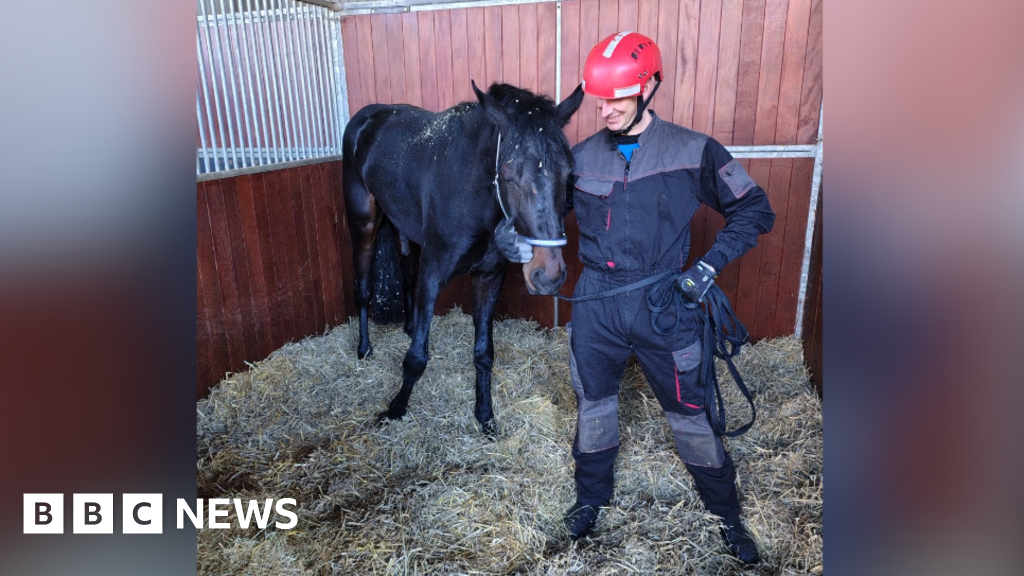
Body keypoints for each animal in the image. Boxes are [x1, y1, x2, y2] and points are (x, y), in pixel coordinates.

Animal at [342, 81, 584, 435]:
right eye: (507, 173)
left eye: (568, 173)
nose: (548, 275)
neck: (472, 196)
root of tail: (366, 117)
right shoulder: (433, 275)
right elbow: (416, 358)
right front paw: (395, 409)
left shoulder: (487, 277)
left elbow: (483, 353)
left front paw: (485, 416)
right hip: (363, 223)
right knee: (362, 288)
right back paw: (363, 349)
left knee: (406, 273)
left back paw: (407, 327)